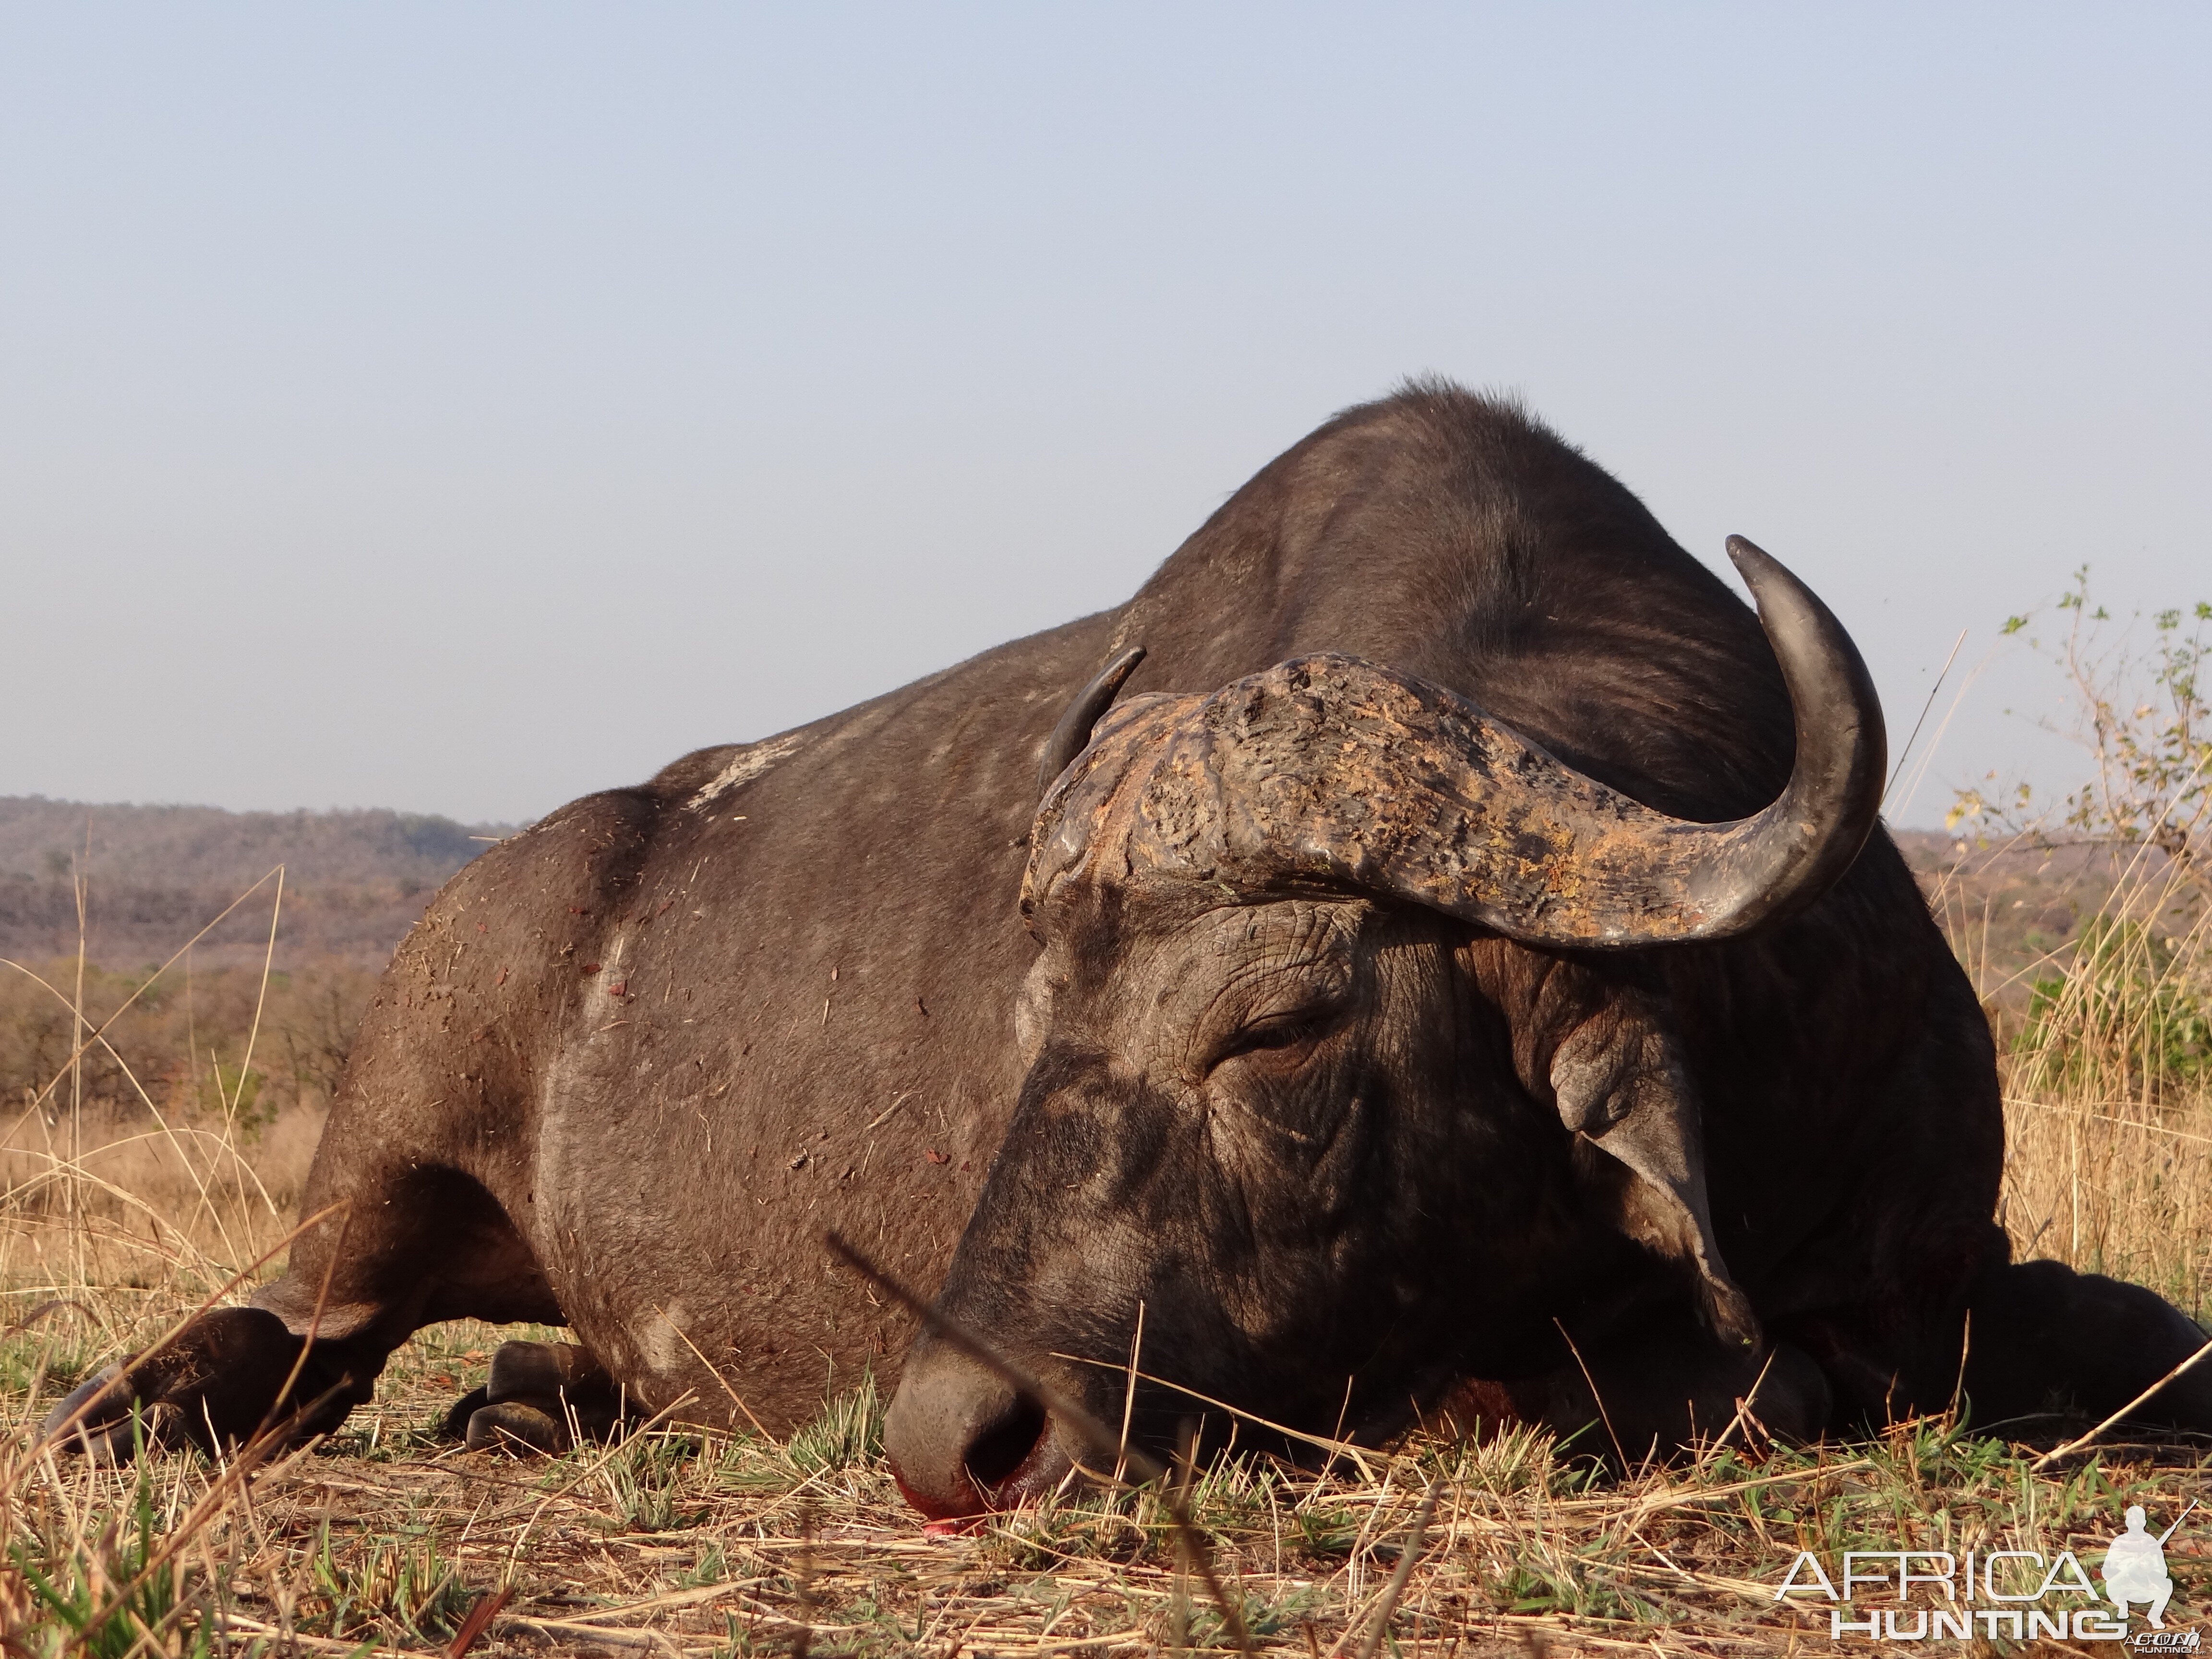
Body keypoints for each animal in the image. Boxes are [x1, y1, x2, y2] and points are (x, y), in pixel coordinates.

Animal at [52, 380, 2212, 1504]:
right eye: (1040, 1031)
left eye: (1275, 1033)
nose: (955, 1438)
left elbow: (2136, 1336)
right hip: (370, 1183)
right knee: (299, 1328)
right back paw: (149, 1408)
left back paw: (528, 1397)